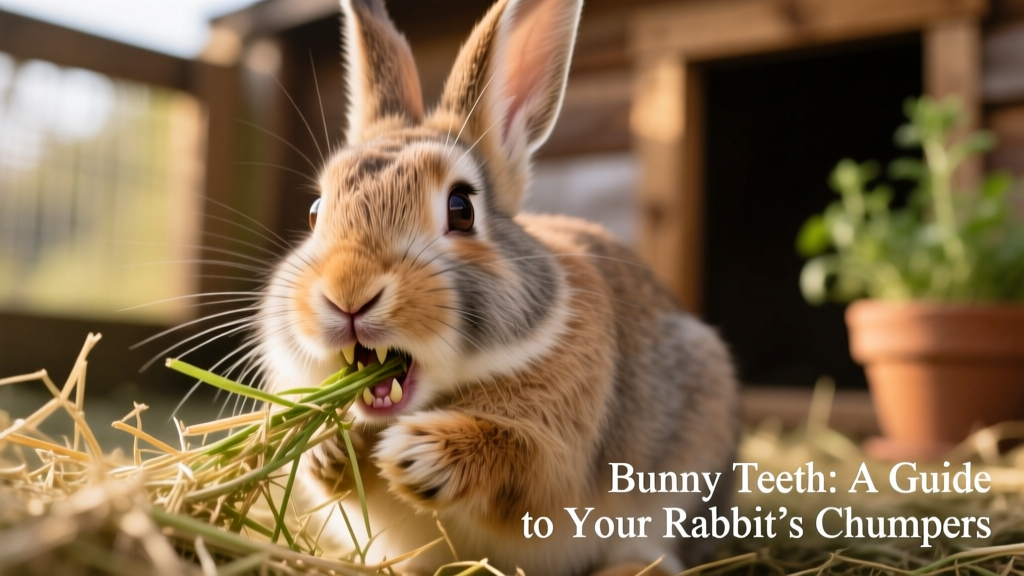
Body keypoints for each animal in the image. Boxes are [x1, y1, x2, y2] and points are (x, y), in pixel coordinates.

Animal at [255, 0, 740, 574]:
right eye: (314, 213)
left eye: (461, 209)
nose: (348, 292)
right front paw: (326, 446)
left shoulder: (559, 451)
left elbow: (526, 463)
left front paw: (418, 455)